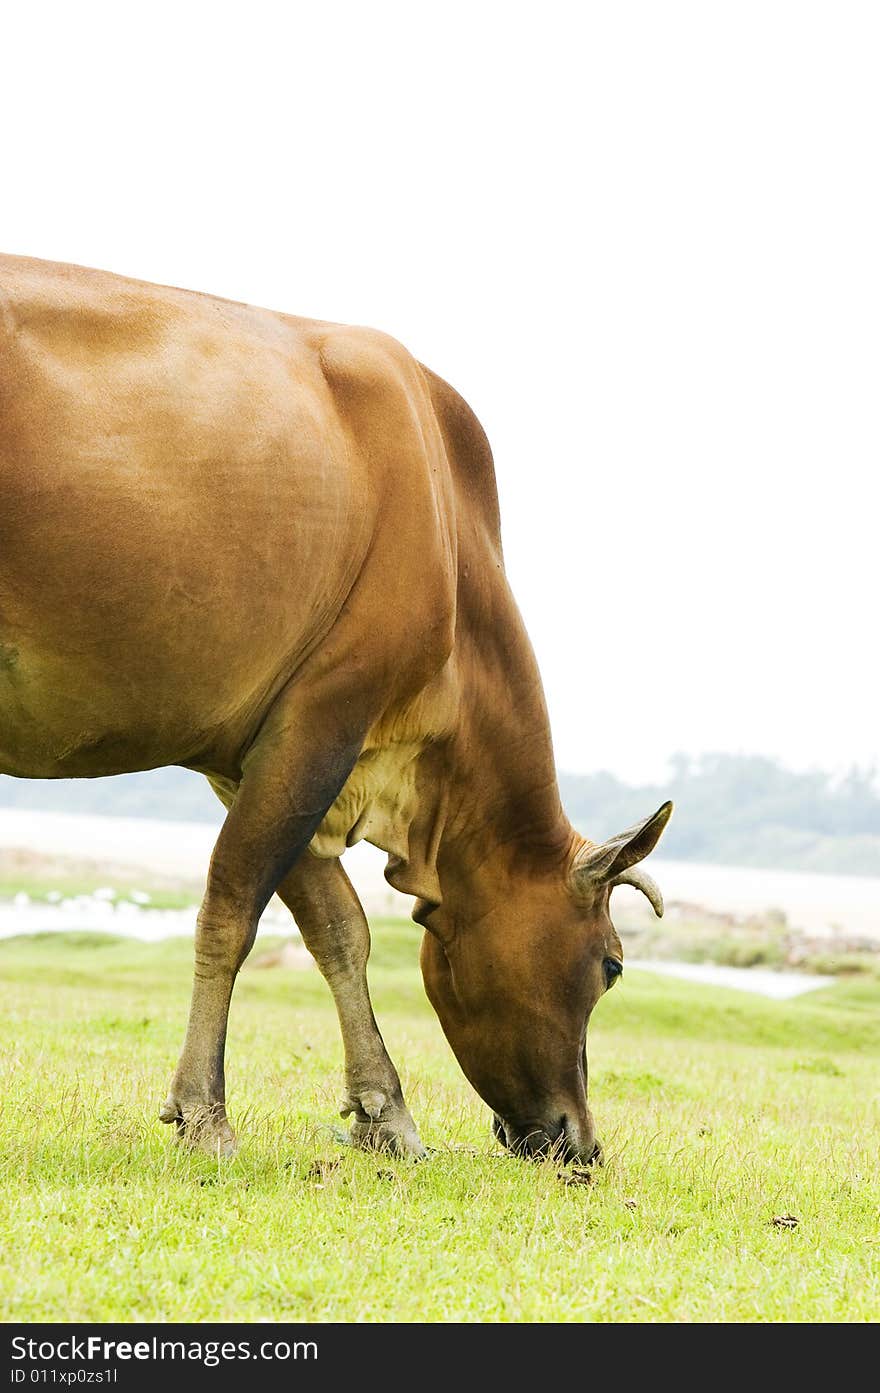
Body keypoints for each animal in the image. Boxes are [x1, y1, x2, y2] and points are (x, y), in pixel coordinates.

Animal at [0, 253, 671, 1164]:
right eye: (613, 964)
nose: (582, 1142)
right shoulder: (326, 713)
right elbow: (234, 908)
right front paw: (204, 1113)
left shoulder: (258, 745)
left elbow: (337, 926)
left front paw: (386, 1113)